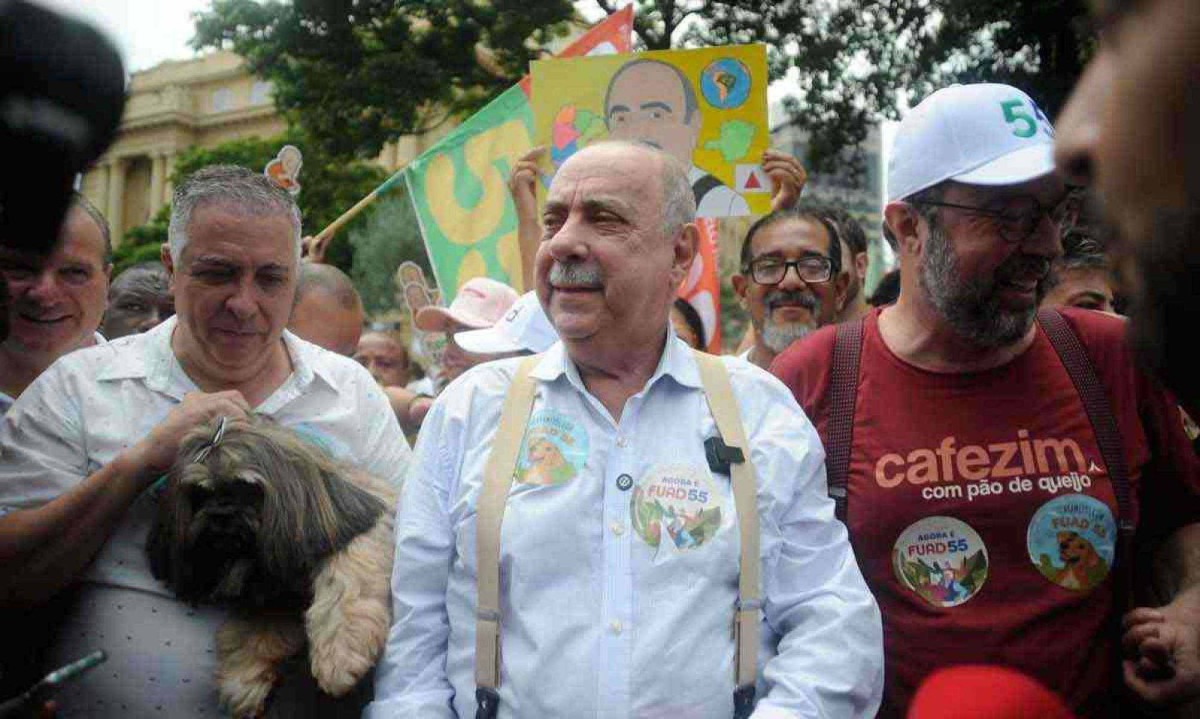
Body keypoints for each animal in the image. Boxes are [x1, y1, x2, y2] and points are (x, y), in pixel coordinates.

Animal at [146, 415, 398, 719]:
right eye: (200, 494)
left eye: (246, 488)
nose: (220, 514)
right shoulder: (271, 589)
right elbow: (257, 629)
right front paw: (242, 678)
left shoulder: (364, 528)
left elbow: (347, 585)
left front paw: (340, 655)